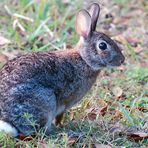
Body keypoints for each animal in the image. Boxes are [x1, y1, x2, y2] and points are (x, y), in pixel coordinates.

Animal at [0, 3, 125, 138]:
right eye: (102, 45)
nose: (122, 60)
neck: (84, 59)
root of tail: (8, 121)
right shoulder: (64, 102)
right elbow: (60, 115)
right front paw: (61, 126)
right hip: (45, 101)